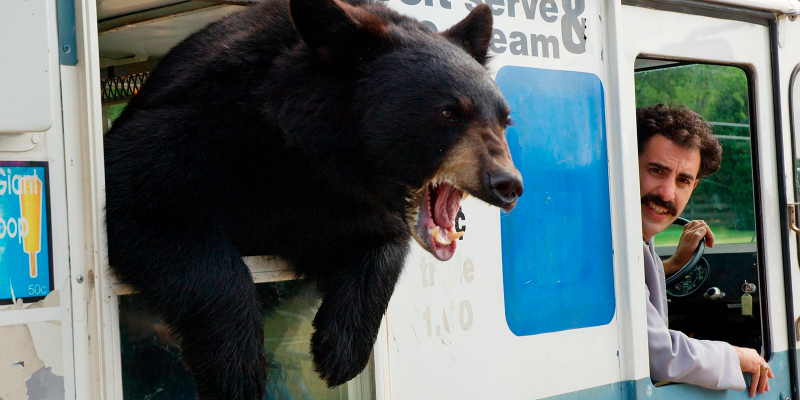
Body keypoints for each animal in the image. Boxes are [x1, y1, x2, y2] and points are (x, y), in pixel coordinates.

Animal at [103, 0, 520, 398]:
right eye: (449, 112)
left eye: (505, 119)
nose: (508, 184)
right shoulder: (203, 129)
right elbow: (142, 204)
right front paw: (237, 369)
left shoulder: (348, 207)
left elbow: (381, 245)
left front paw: (340, 350)